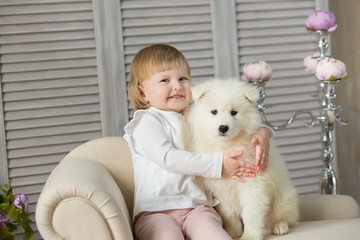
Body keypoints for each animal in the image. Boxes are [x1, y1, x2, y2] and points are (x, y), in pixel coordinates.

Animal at [186, 79, 298, 240]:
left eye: (234, 112)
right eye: (214, 112)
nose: (223, 128)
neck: (227, 146)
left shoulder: (253, 183)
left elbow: (251, 213)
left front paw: (250, 235)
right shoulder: (220, 188)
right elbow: (229, 212)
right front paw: (233, 232)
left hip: (282, 197)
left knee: (280, 216)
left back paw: (279, 226)